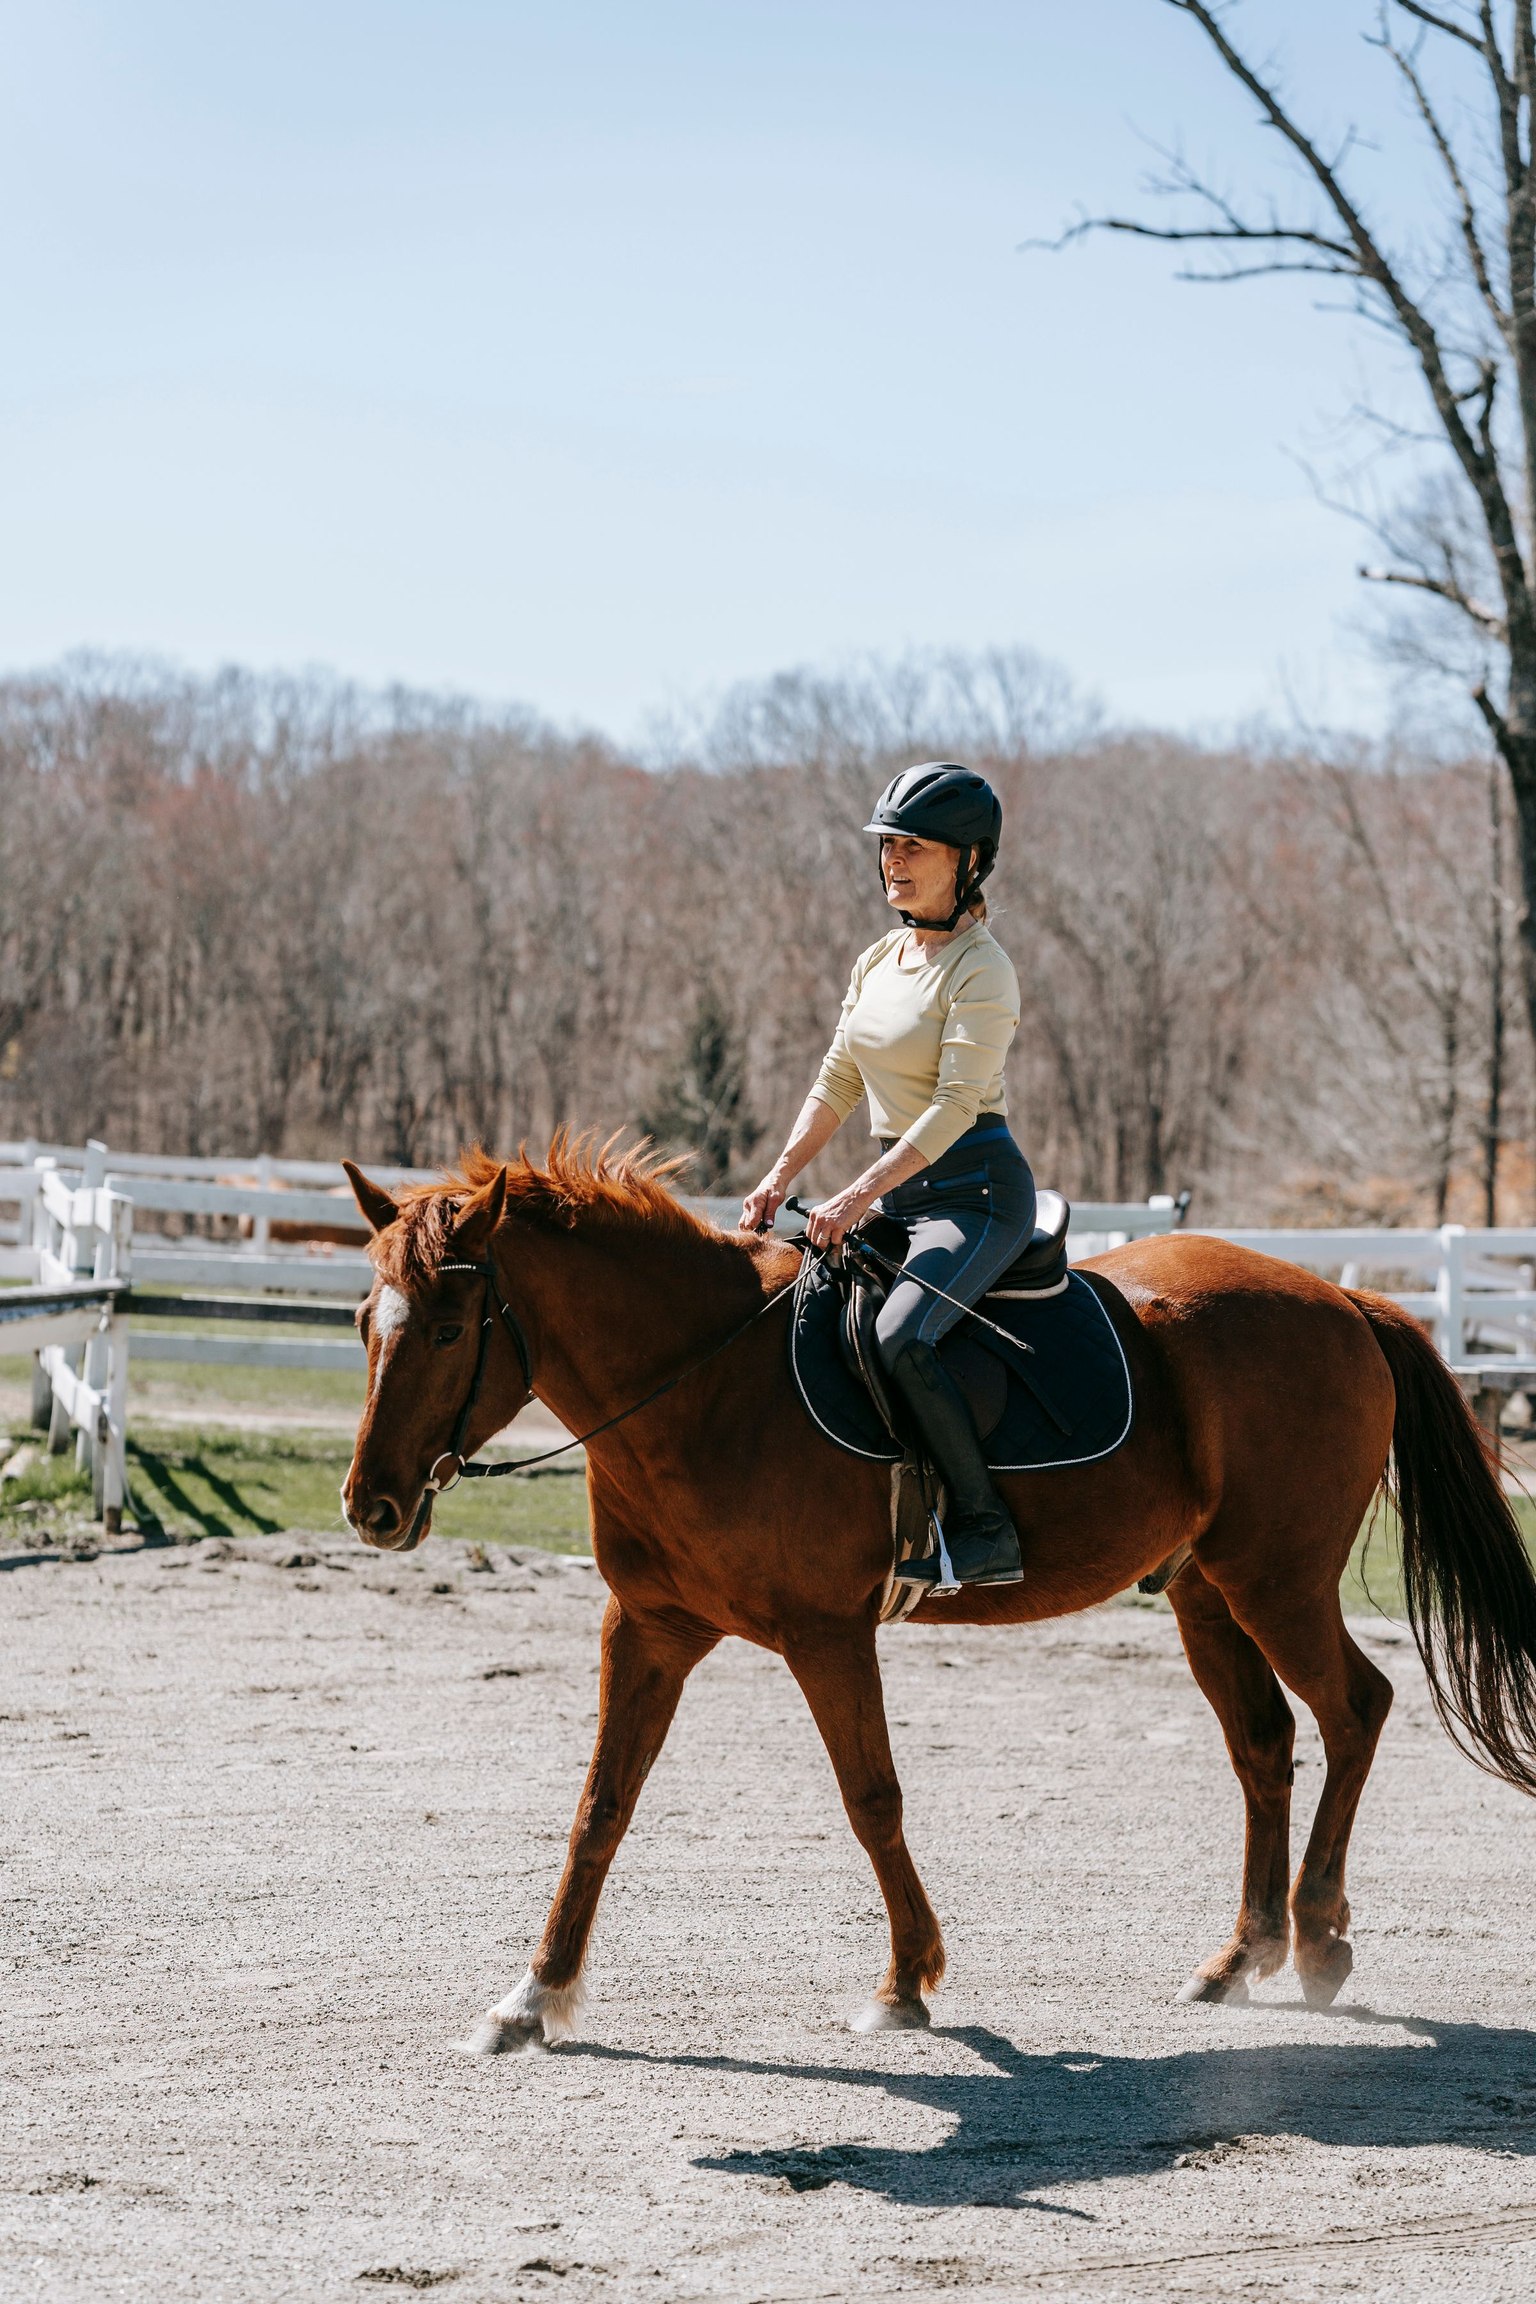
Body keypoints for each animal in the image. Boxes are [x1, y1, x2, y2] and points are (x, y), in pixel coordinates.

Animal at [339, 1136, 1536, 2052]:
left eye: (447, 1329)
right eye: (362, 1322)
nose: (372, 1507)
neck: (704, 1389)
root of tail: (1340, 1296)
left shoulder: (826, 1635)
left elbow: (872, 1800)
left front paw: (904, 1983)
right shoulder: (647, 1629)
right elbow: (601, 1808)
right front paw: (532, 1996)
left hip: (1277, 1580)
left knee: (1355, 1710)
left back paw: (1322, 1937)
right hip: (1206, 1593)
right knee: (1264, 1743)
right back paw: (1242, 1955)